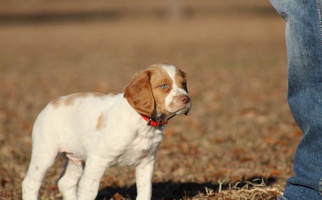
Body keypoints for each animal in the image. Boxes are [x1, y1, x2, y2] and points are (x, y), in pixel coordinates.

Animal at [22, 64, 191, 200]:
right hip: (45, 153)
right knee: (30, 183)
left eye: (184, 83)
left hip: (75, 158)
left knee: (66, 182)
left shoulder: (147, 161)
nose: (186, 99)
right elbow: (89, 191)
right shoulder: (97, 159)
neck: (143, 122)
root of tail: (50, 104)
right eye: (163, 86)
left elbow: (145, 192)